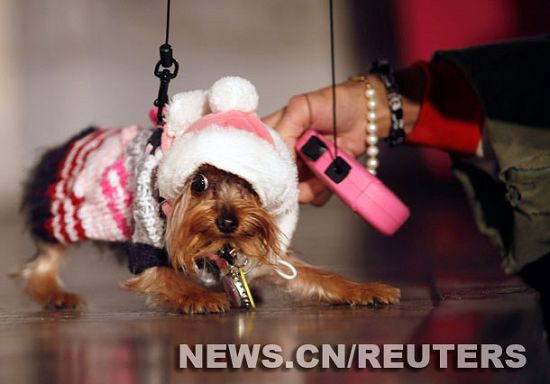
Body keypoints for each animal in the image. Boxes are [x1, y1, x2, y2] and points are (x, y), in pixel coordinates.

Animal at [14, 76, 402, 314]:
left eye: (249, 187)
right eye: (198, 183)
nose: (228, 221)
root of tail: (67, 143)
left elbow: (316, 277)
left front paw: (364, 290)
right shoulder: (147, 236)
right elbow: (163, 274)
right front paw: (198, 295)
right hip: (58, 211)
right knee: (42, 262)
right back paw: (55, 294)